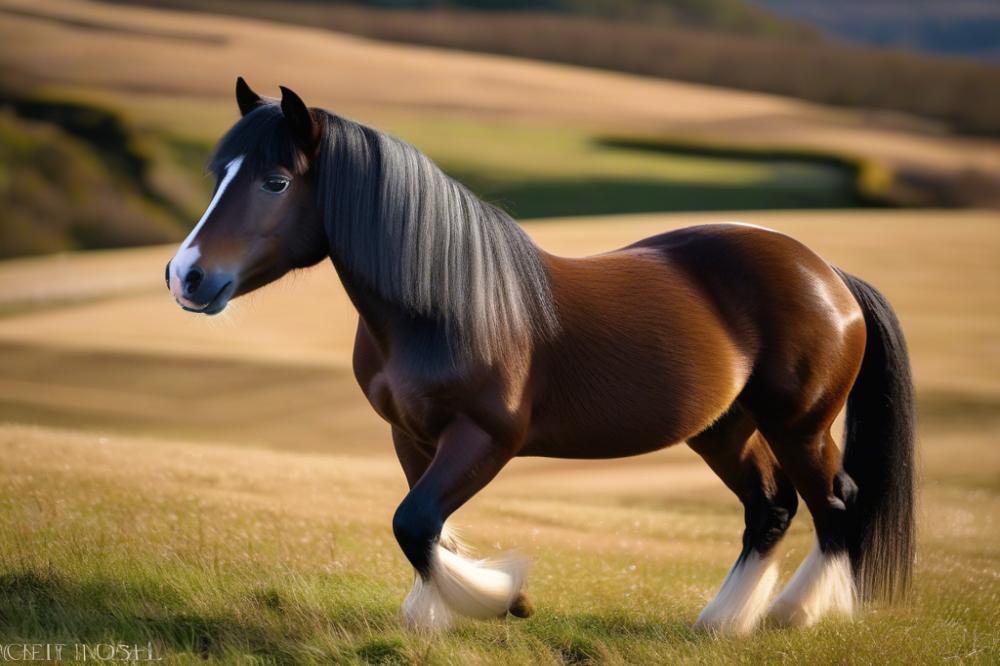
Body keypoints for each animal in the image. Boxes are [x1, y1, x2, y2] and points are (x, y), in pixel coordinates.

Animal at [165, 78, 916, 635]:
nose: (186, 276)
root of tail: (827, 273)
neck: (444, 304)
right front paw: (436, 614)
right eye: (219, 173)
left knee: (836, 501)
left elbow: (415, 522)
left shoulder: (485, 437)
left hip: (799, 424)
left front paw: (504, 598)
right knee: (772, 507)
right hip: (723, 427)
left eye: (275, 181)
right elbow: (427, 527)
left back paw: (795, 614)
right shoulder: (412, 435)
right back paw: (723, 621)